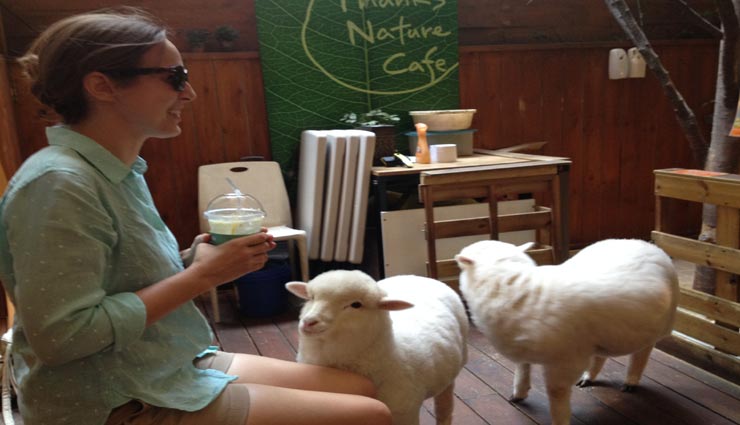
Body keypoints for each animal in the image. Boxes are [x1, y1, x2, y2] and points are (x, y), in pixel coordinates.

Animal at [285, 270, 469, 425]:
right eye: (311, 297)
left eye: (356, 305)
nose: (309, 322)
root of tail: (419, 277)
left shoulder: (405, 415)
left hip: (451, 375)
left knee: (444, 407)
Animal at [454, 239, 678, 425]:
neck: (512, 284)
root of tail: (648, 244)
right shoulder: (525, 346)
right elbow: (522, 368)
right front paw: (519, 392)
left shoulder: (564, 362)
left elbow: (556, 394)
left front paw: (559, 419)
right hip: (602, 336)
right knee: (600, 355)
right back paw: (589, 377)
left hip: (653, 327)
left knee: (641, 354)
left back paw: (631, 380)